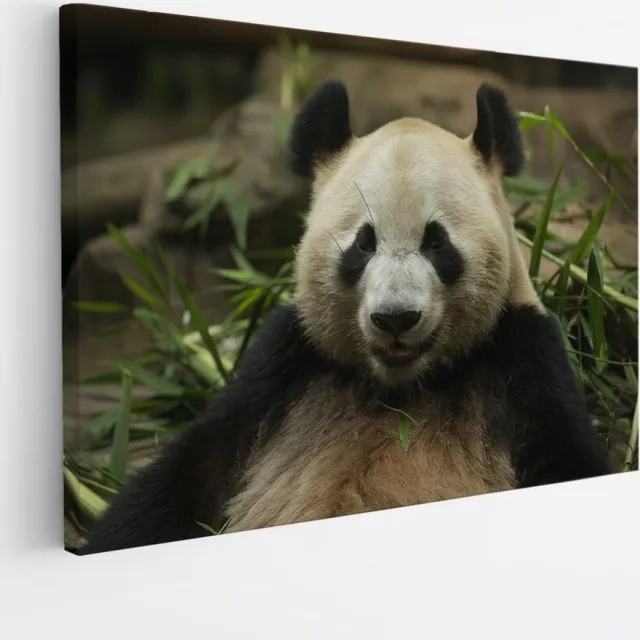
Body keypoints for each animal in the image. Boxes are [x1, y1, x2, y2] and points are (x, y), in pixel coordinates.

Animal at [78, 80, 612, 555]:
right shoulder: (284, 363)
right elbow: (190, 471)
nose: (396, 319)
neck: (401, 389)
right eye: (363, 243)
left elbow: (567, 456)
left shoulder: (524, 359)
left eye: (436, 242)